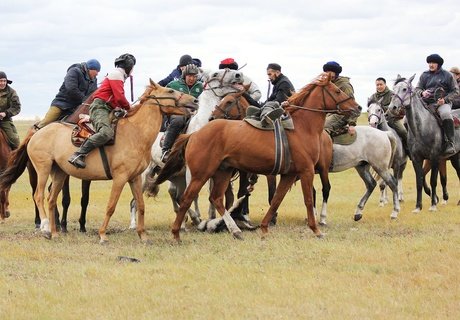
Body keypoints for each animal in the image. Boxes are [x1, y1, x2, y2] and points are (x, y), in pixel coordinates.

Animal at [0, 80, 198, 242]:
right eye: (171, 90)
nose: (195, 100)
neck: (135, 133)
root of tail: (36, 133)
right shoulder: (120, 178)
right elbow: (111, 205)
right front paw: (103, 234)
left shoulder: (135, 178)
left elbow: (140, 205)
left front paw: (142, 235)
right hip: (43, 169)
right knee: (39, 195)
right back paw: (46, 227)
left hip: (59, 173)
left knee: (51, 199)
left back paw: (55, 233)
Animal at [129, 68, 244, 228]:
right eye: (215, 74)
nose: (239, 75)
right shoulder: (191, 171)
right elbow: (191, 195)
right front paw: (197, 219)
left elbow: (209, 194)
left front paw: (211, 218)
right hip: (145, 175)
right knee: (136, 200)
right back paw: (133, 224)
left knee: (173, 194)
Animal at [150, 72, 360, 241]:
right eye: (338, 92)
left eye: (228, 101)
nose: (357, 107)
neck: (302, 128)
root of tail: (194, 134)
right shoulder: (306, 171)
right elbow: (307, 199)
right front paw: (315, 230)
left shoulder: (289, 174)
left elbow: (276, 199)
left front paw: (265, 227)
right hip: (201, 174)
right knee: (187, 198)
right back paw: (178, 232)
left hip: (223, 172)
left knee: (216, 198)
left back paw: (234, 230)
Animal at [388, 74, 460, 211]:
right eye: (393, 89)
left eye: (405, 89)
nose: (392, 108)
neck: (422, 128)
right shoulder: (417, 159)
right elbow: (419, 181)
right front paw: (418, 207)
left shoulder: (435, 158)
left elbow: (433, 181)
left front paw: (433, 205)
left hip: (455, 158)